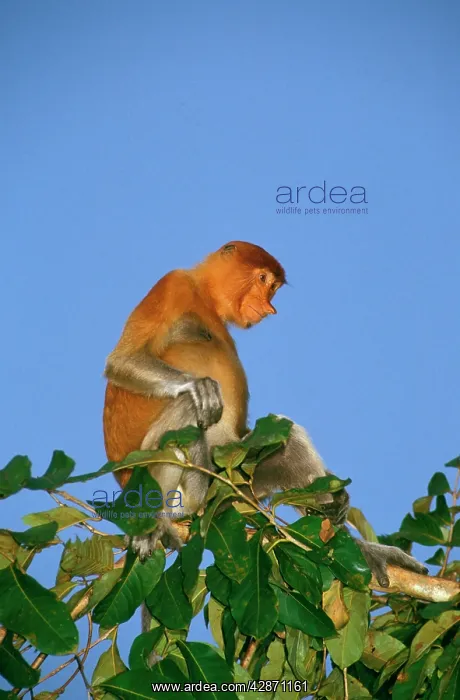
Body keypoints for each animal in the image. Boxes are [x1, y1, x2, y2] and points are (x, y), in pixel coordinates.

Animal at [103, 241, 427, 590]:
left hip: (233, 487)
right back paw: (156, 522)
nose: (269, 307)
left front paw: (341, 497)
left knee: (287, 439)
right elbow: (123, 361)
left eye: (272, 287)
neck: (204, 296)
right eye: (262, 279)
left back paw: (357, 547)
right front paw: (199, 385)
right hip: (175, 486)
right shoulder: (172, 285)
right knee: (189, 408)